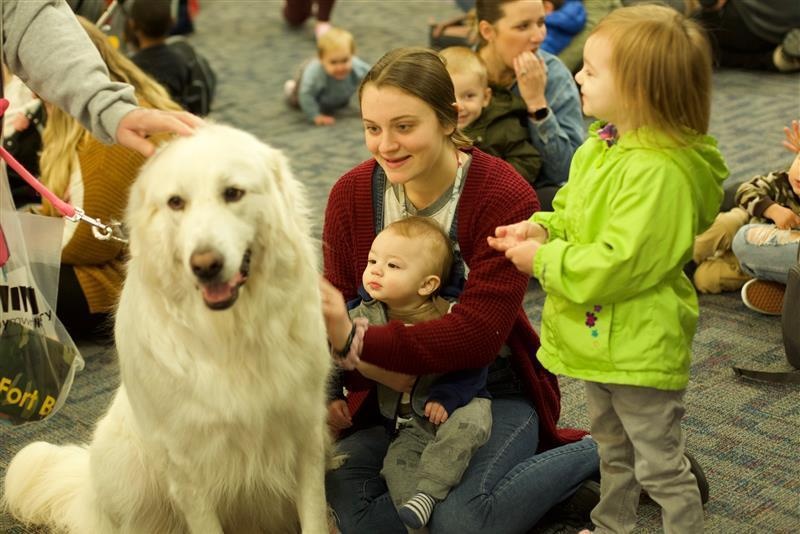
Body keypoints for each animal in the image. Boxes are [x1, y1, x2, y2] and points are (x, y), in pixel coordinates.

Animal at [2, 123, 332, 532]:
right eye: (176, 202)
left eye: (233, 193)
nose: (205, 265)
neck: (228, 334)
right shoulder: (189, 466)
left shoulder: (306, 435)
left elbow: (315, 517)